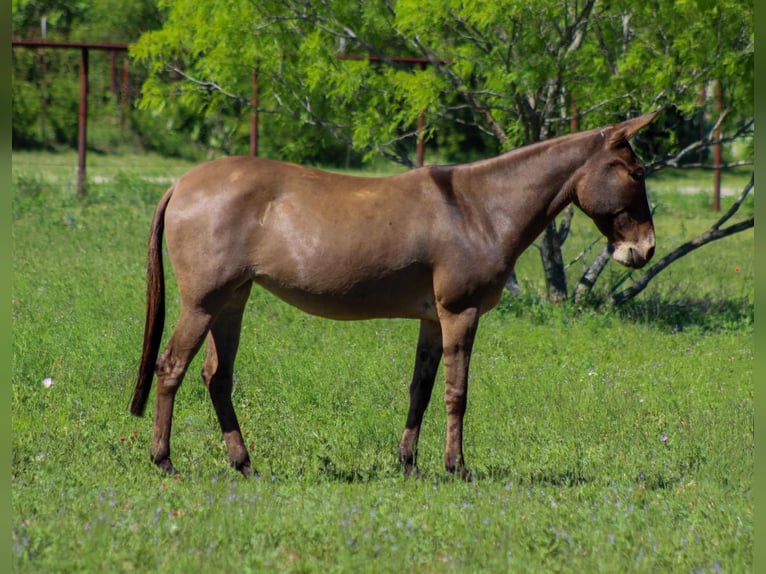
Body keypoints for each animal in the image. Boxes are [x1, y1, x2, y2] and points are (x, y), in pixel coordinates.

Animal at [130, 112, 658, 478]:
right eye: (636, 173)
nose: (647, 249)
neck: (479, 208)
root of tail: (181, 184)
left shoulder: (432, 319)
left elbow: (420, 389)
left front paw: (409, 463)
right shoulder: (460, 313)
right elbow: (457, 392)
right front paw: (457, 467)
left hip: (233, 300)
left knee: (217, 377)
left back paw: (243, 464)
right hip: (202, 303)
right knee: (171, 368)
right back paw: (164, 461)